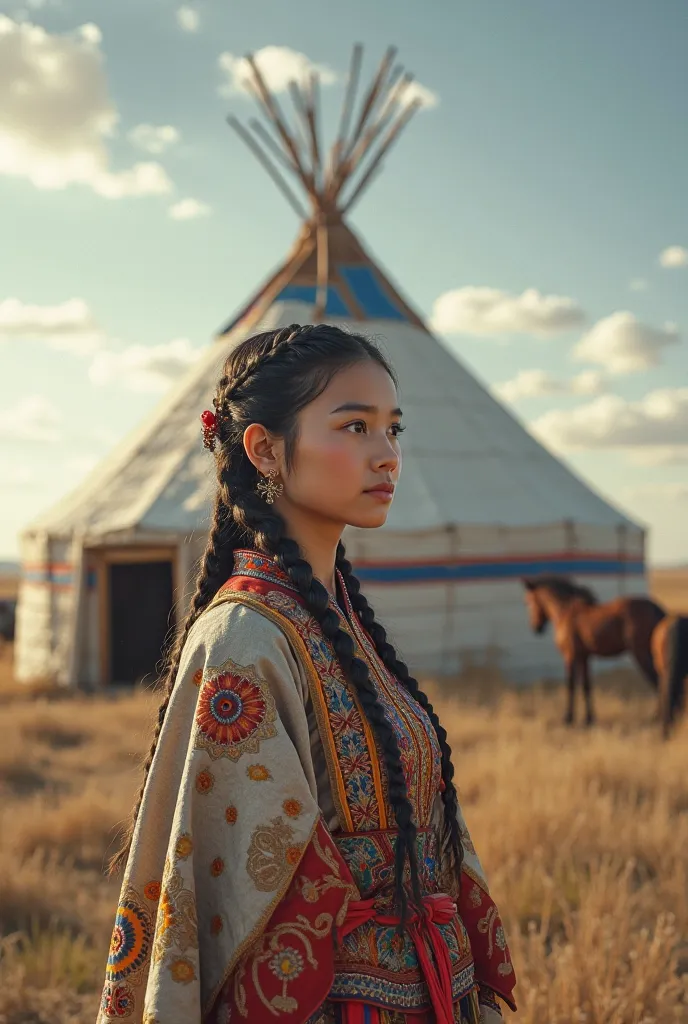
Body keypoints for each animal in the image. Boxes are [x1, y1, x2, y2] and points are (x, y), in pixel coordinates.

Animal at [524, 577, 663, 729]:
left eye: (529, 601)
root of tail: (655, 607)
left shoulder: (570, 657)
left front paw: (568, 718)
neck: (565, 612)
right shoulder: (584, 657)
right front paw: (589, 719)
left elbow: (571, 685)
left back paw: (657, 717)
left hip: (642, 655)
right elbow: (586, 686)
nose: (536, 628)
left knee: (658, 681)